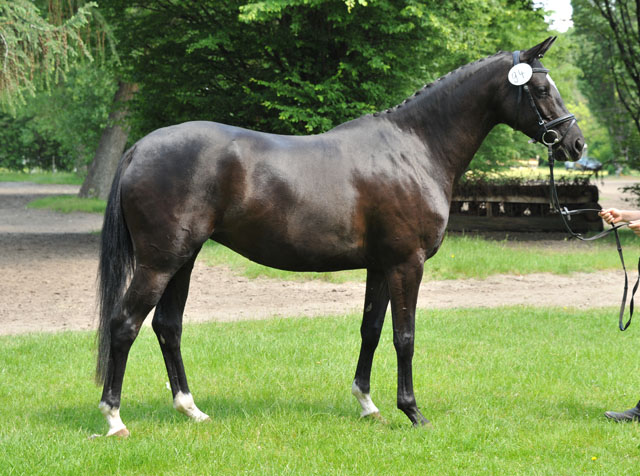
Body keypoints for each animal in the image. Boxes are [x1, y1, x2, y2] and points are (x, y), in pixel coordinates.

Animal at [94, 37, 584, 436]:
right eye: (542, 89)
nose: (576, 144)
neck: (414, 149)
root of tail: (138, 148)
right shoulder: (407, 263)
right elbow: (404, 337)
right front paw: (413, 412)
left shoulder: (381, 267)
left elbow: (371, 329)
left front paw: (368, 405)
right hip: (160, 262)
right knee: (124, 324)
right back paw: (114, 419)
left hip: (185, 257)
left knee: (167, 326)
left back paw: (191, 410)